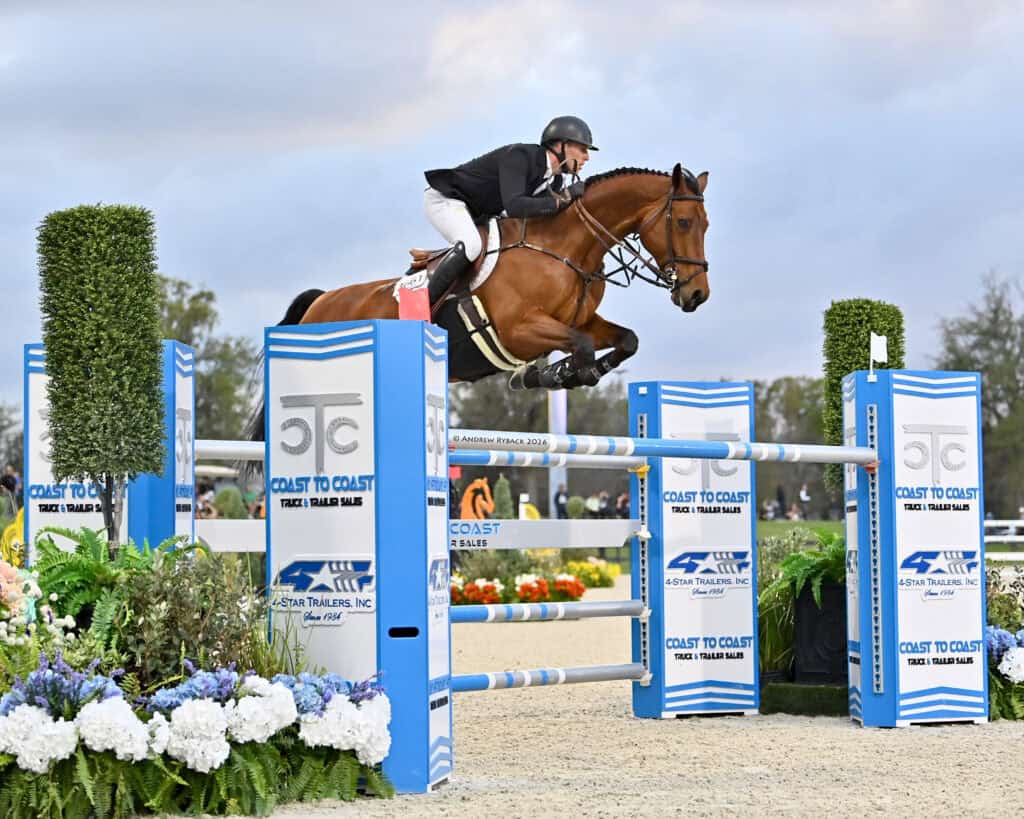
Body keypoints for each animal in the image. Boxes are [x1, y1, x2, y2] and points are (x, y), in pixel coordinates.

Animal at [272, 163, 709, 391]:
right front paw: (552, 374)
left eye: (706, 224)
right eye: (683, 222)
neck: (566, 249)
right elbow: (581, 346)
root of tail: (318, 302)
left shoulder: (580, 320)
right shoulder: (518, 330)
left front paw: (559, 374)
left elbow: (625, 340)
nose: (697, 295)